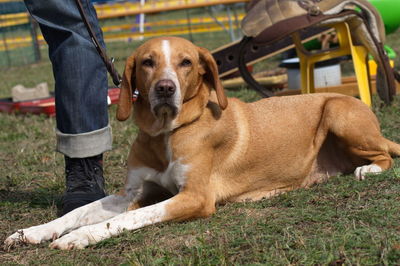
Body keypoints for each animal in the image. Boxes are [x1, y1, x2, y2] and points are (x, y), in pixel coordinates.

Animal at [3, 37, 400, 249]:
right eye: (147, 62)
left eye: (186, 62)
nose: (165, 89)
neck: (166, 133)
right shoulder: (131, 193)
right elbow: (79, 212)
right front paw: (33, 231)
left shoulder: (194, 197)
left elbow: (125, 219)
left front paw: (79, 238)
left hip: (338, 111)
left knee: (386, 155)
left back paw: (368, 170)